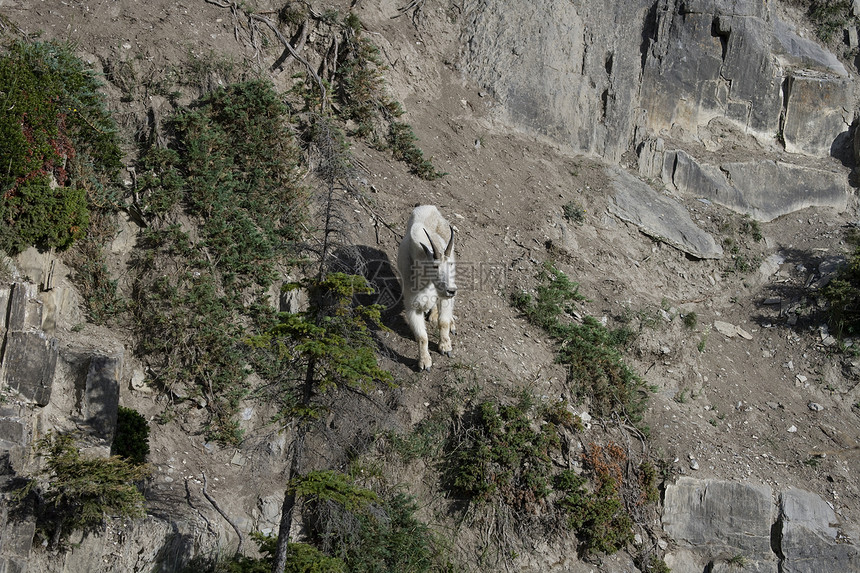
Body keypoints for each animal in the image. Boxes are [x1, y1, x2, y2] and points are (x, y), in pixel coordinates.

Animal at [400, 206, 460, 370]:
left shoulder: (444, 297)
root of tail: (430, 208)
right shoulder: (412, 305)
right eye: (435, 266)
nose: (451, 290)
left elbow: (443, 322)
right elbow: (422, 337)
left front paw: (446, 348)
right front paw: (425, 362)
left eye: (449, 264)